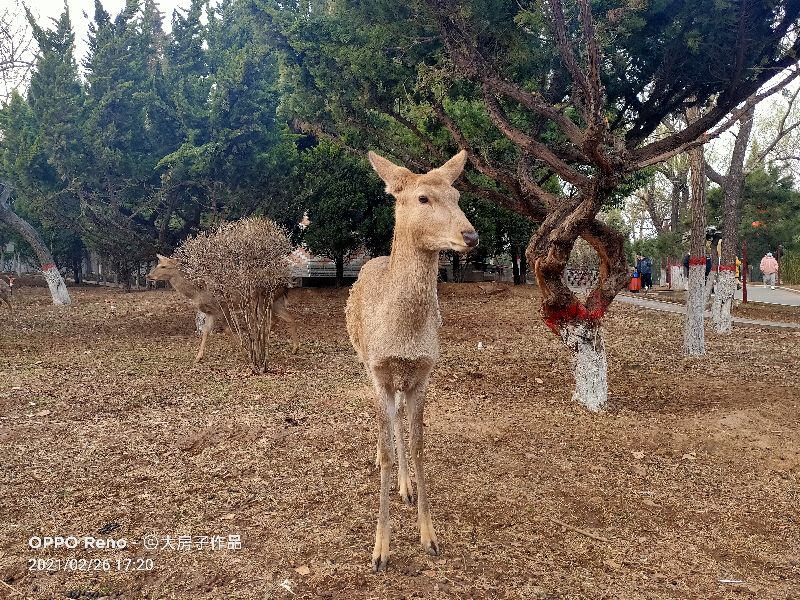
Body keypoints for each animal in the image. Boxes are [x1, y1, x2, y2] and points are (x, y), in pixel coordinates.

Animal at [145, 252, 298, 360]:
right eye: (158, 265)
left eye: (164, 266)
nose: (148, 276)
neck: (197, 292)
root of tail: (284, 284)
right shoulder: (210, 312)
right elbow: (206, 331)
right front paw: (198, 357)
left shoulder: (224, 305)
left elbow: (228, 330)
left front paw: (243, 350)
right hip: (275, 301)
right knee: (287, 317)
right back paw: (292, 348)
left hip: (262, 300)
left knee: (271, 319)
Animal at [346, 150, 482, 572]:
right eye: (423, 198)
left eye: (457, 195)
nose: (470, 236)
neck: (404, 335)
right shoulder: (378, 370)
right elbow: (390, 445)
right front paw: (380, 551)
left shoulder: (423, 372)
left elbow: (419, 443)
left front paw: (429, 536)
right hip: (366, 364)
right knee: (388, 425)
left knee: (400, 419)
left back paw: (405, 487)